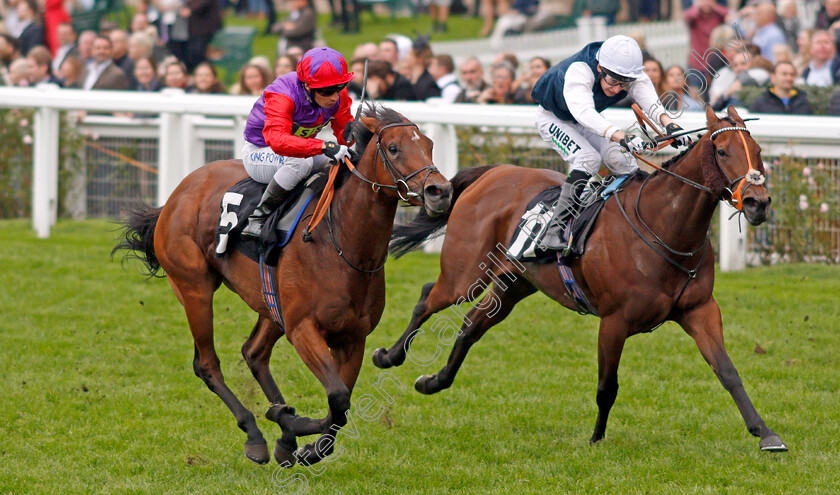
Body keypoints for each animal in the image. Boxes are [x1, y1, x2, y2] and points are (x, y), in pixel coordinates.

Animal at [113, 104, 452, 464]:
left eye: (429, 145)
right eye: (393, 148)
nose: (440, 191)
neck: (340, 242)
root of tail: (176, 195)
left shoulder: (352, 337)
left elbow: (341, 406)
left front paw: (303, 441)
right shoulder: (303, 328)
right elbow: (337, 397)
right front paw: (290, 424)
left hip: (270, 303)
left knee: (254, 353)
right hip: (195, 288)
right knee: (207, 364)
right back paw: (255, 435)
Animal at [374, 106, 788, 452]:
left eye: (758, 150)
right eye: (722, 151)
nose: (758, 202)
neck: (664, 228)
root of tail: (494, 172)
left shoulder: (700, 309)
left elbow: (728, 371)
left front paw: (766, 433)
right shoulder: (615, 321)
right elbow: (607, 386)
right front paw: (596, 437)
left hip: (514, 283)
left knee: (472, 324)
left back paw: (433, 381)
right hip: (466, 275)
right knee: (428, 297)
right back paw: (388, 356)